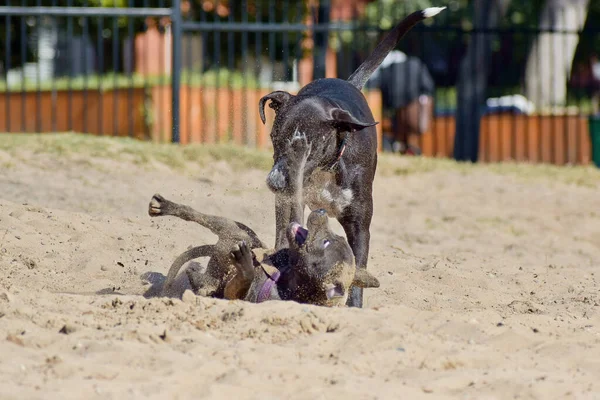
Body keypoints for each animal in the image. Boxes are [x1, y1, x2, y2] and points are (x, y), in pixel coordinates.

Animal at [147, 195, 378, 308]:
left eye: (326, 242)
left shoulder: (235, 295)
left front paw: (245, 265)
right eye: (336, 239)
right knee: (195, 215)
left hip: (230, 234)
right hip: (234, 229)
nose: (321, 211)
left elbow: (240, 283)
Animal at [258, 6, 446, 308]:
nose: (275, 183)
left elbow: (358, 266)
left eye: (309, 146)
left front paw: (354, 307)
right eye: (275, 138)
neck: (326, 170)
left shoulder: (359, 224)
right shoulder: (290, 206)